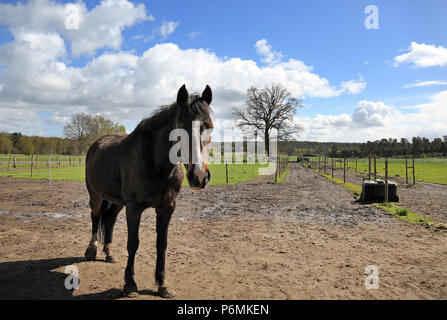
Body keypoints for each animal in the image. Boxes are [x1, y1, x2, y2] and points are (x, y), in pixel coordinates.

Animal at [85, 84, 215, 298]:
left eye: (209, 126)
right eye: (180, 129)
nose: (198, 177)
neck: (155, 163)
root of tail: (97, 144)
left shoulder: (166, 208)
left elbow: (162, 244)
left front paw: (163, 285)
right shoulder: (134, 208)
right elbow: (133, 243)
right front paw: (130, 285)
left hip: (118, 202)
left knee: (110, 219)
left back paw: (109, 253)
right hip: (95, 195)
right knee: (95, 218)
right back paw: (91, 251)